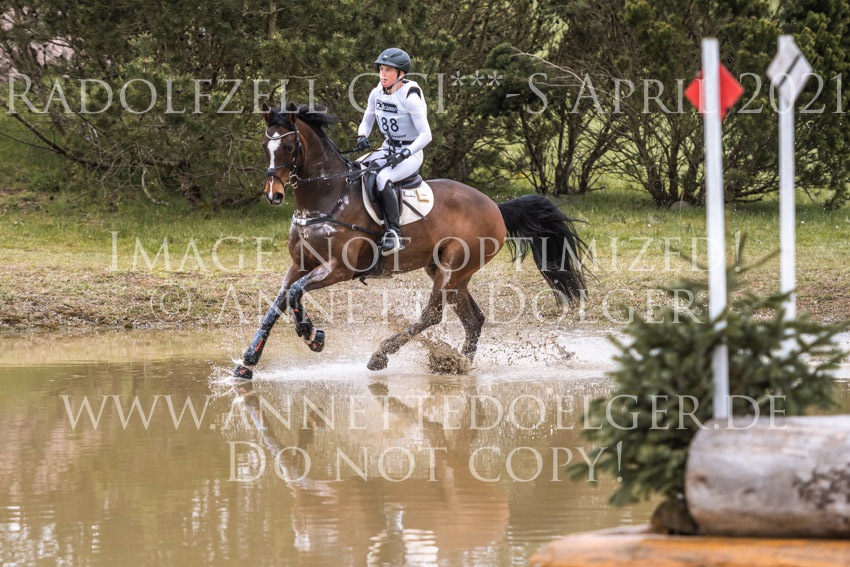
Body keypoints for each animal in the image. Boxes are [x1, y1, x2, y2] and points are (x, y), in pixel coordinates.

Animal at [232, 102, 588, 379]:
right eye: (265, 146)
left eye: (289, 148)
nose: (274, 195)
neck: (325, 197)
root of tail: (496, 208)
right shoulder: (300, 264)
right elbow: (278, 303)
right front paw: (248, 363)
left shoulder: (338, 269)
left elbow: (295, 294)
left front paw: (311, 336)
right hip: (448, 272)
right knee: (473, 319)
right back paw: (458, 364)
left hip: (453, 268)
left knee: (432, 314)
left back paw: (383, 355)